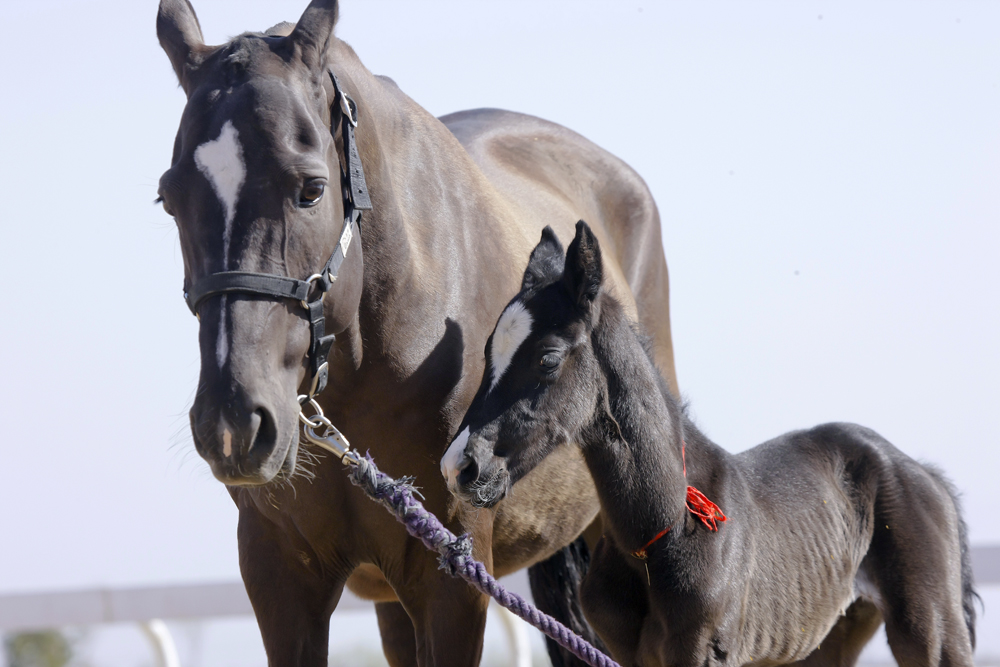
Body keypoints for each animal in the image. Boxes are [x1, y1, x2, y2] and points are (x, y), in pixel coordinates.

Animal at [446, 222, 976, 664]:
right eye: (488, 351)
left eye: (548, 358)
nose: (460, 466)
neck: (663, 531)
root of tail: (922, 473)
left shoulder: (704, 652)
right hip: (831, 639)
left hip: (932, 632)